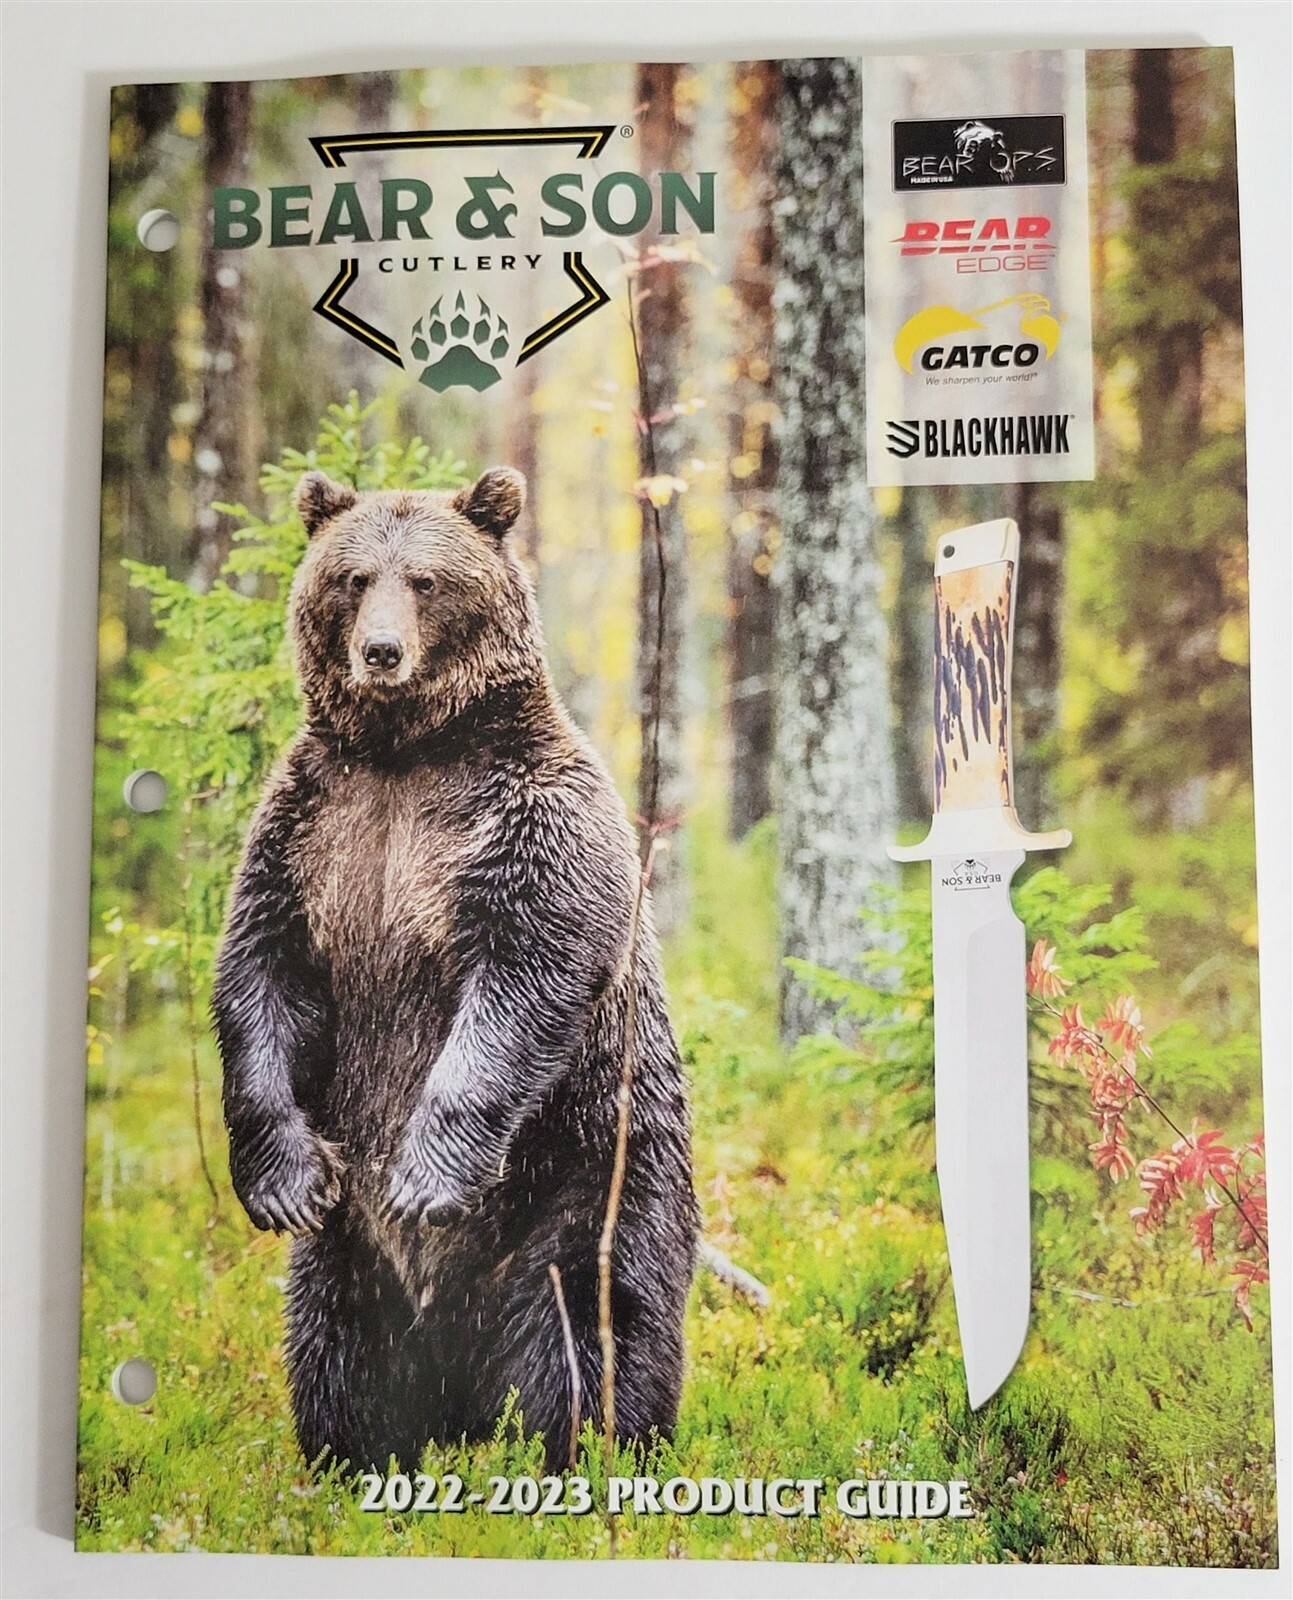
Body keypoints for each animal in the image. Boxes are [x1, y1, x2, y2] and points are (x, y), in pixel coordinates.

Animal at [211, 466, 697, 1475]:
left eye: (427, 580)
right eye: (353, 576)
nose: (381, 652)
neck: (407, 752)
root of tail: (462, 1394)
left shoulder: (522, 819)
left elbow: (523, 978)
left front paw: (424, 1177)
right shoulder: (310, 831)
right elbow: (260, 977)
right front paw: (281, 1182)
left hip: (587, 1177)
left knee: (593, 1326)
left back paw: (591, 1451)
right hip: (352, 1258)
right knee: (333, 1342)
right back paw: (351, 1454)